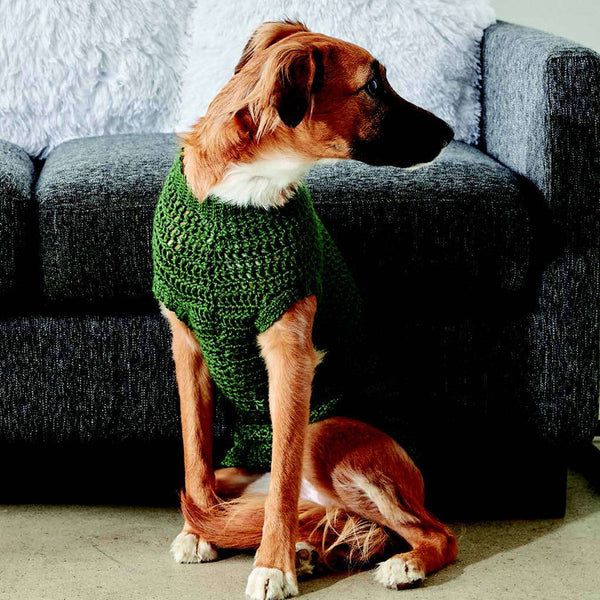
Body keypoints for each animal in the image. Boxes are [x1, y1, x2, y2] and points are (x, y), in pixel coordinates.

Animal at [152, 19, 458, 600]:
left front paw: (272, 566)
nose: (451, 132)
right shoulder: (187, 347)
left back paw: (400, 562)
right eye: (373, 86)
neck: (243, 190)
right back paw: (302, 547)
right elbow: (193, 459)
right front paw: (198, 533)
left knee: (435, 532)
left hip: (328, 435)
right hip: (245, 472)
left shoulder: (290, 350)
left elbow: (284, 480)